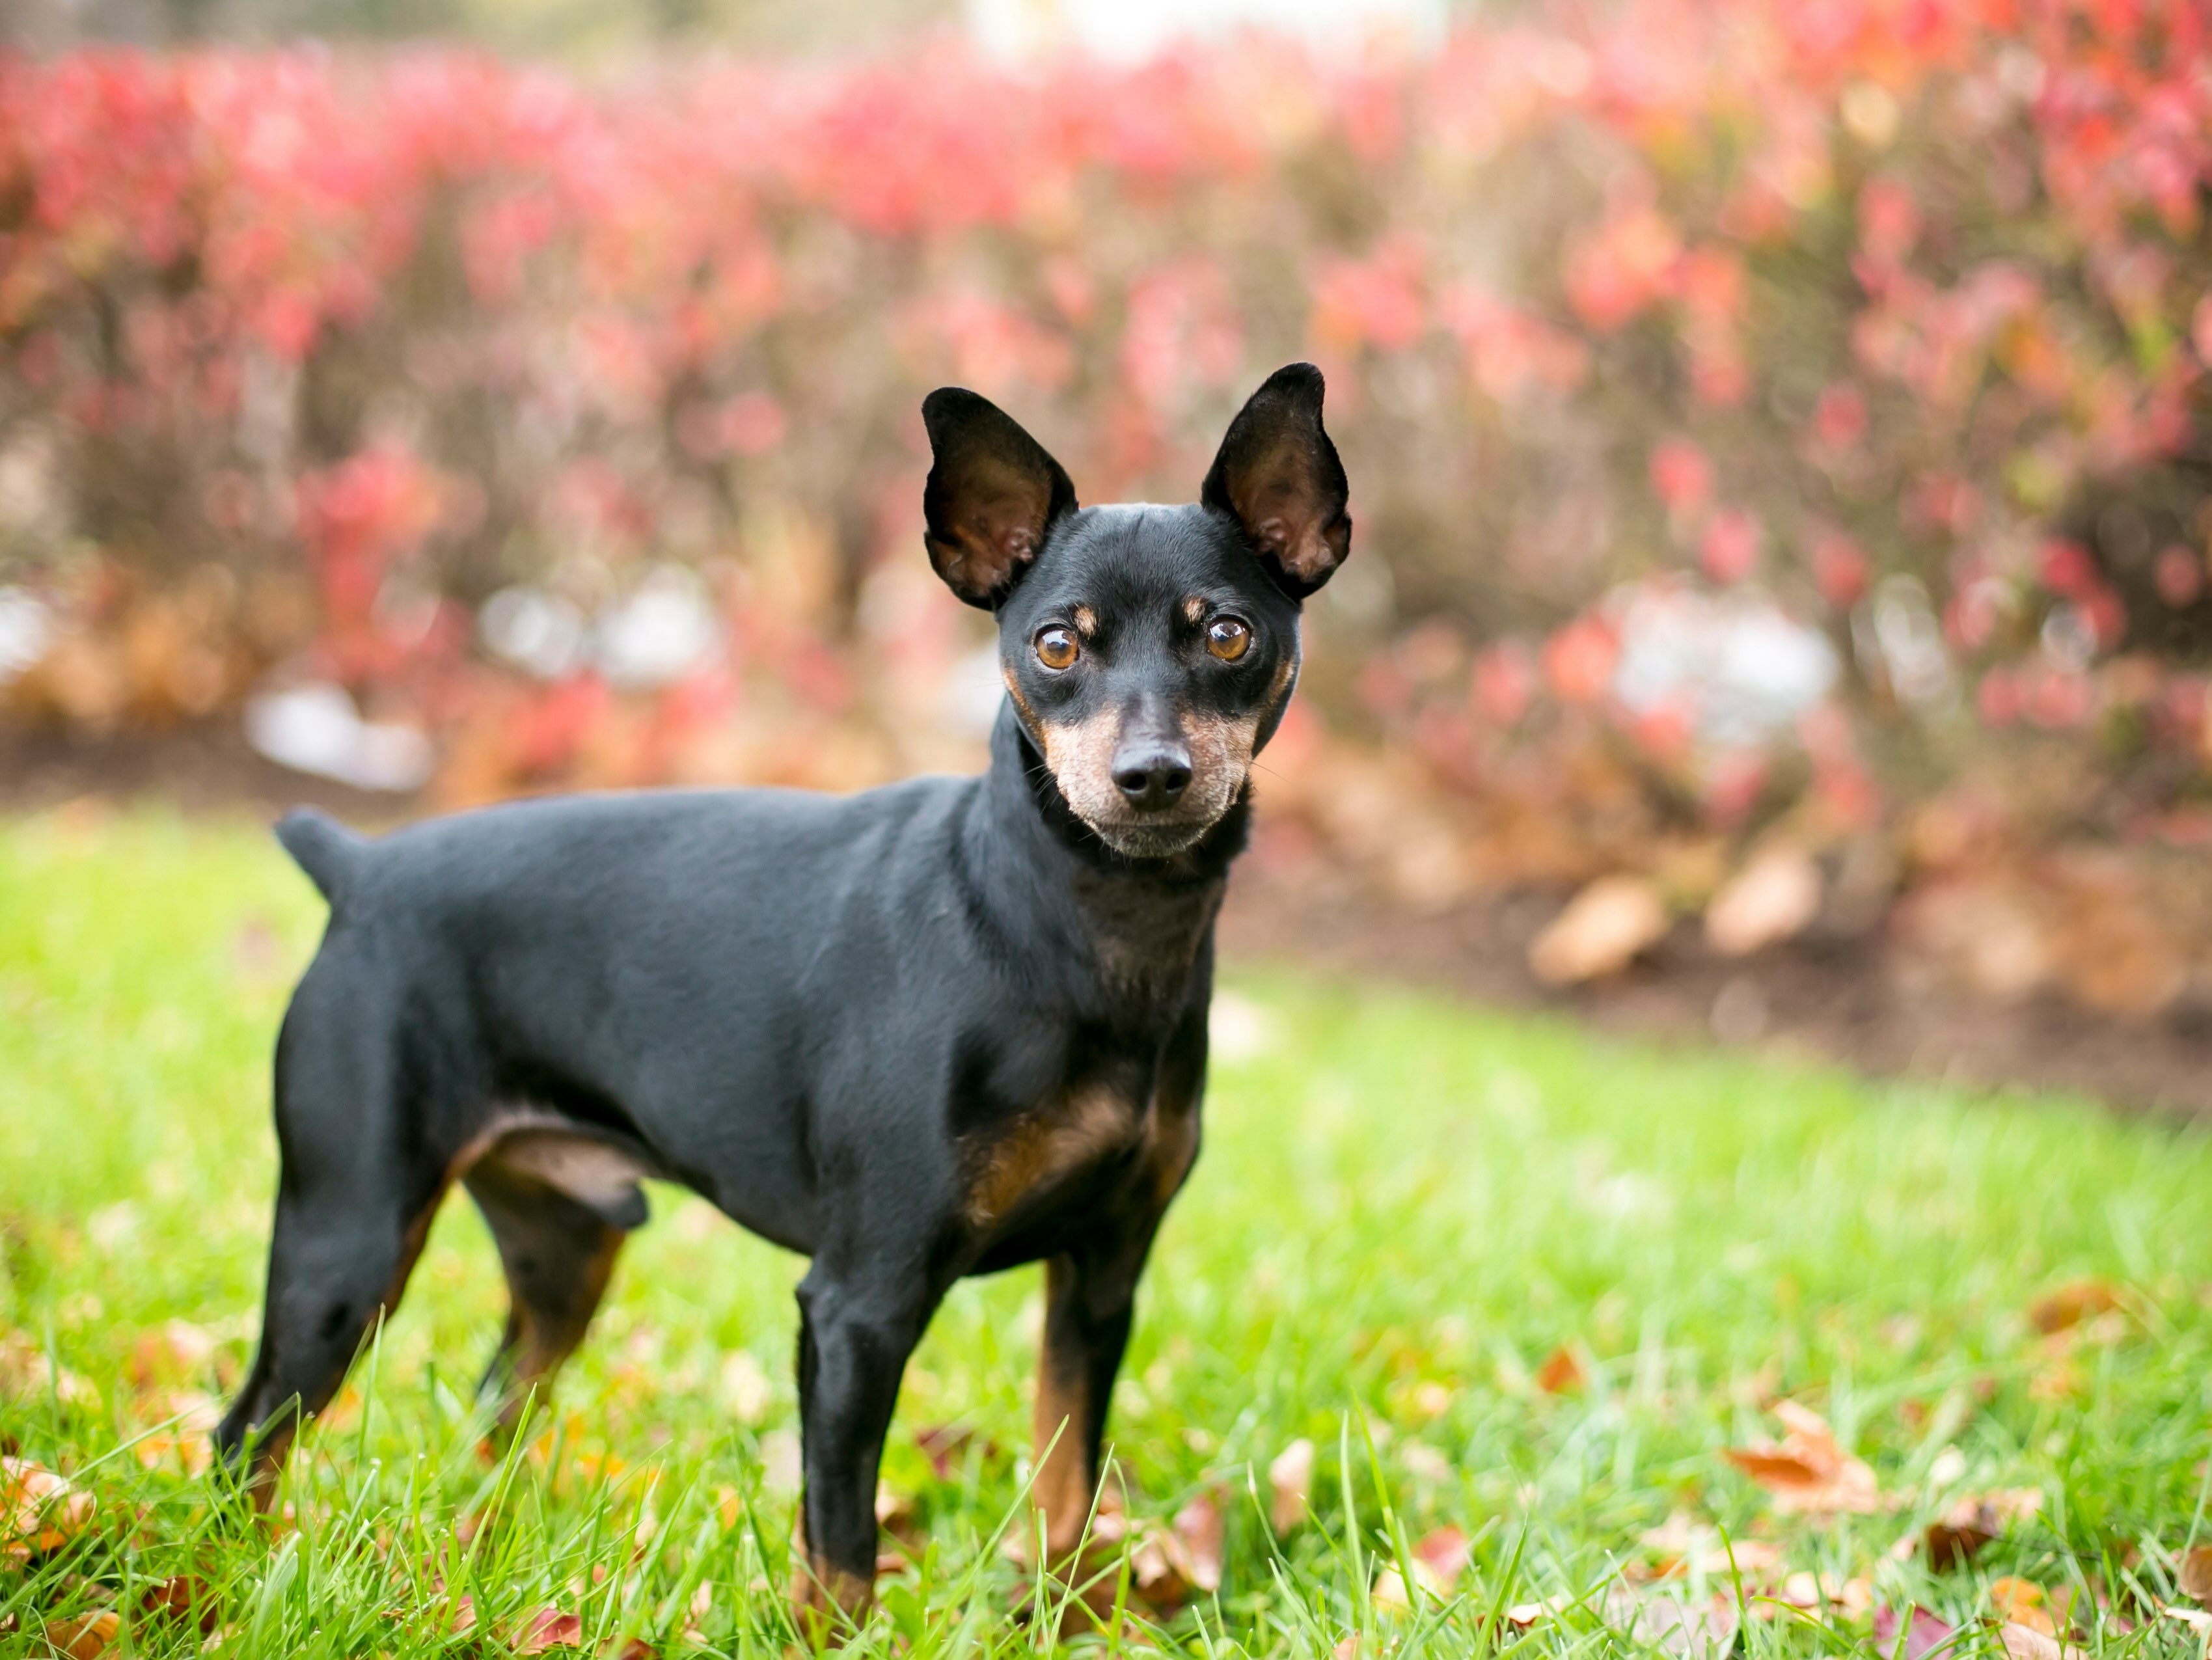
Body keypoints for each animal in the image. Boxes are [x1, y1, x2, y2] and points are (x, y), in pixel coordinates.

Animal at [215, 362, 1345, 1627]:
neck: (1070, 926)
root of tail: (359, 871)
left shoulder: (1101, 1280)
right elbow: (839, 1542)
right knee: (245, 1435)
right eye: (1056, 644)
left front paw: (1071, 1621)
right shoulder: (860, 1304)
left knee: (494, 1406)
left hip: (561, 1253)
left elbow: (1066, 1489)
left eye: (1228, 633)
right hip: (346, 1246)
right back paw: (235, 1578)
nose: (1149, 775)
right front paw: (836, 1636)